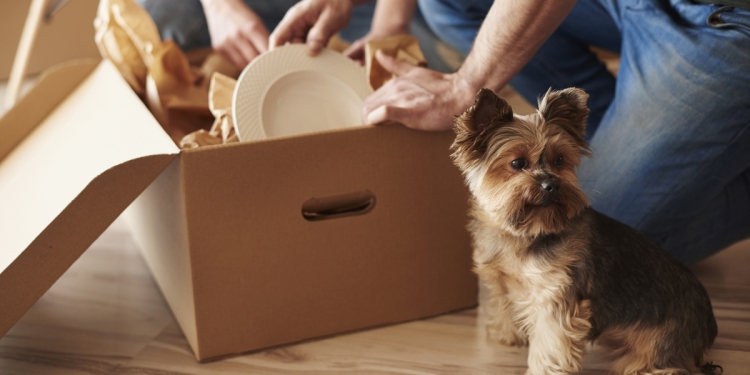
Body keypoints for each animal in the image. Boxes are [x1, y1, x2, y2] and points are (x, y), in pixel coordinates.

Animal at [452, 86, 724, 374]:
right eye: (517, 163)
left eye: (560, 160)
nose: (552, 185)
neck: (526, 232)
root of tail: (709, 325)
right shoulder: (504, 279)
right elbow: (505, 302)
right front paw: (506, 334)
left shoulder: (555, 296)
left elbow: (550, 346)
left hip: (658, 348)